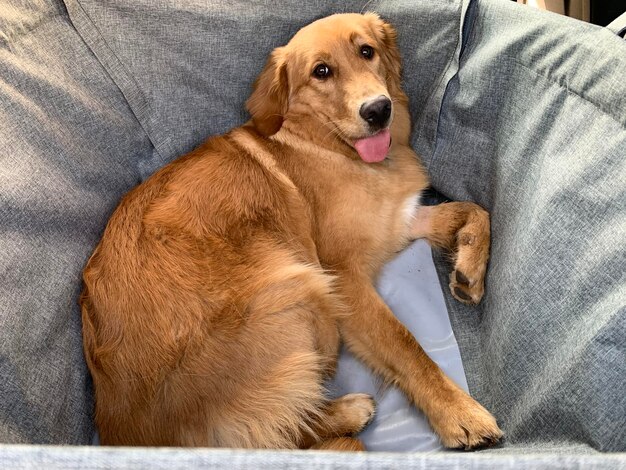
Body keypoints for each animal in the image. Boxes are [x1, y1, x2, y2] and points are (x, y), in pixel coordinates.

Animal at [81, 12, 502, 450]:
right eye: (321, 72)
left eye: (366, 51)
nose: (378, 110)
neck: (327, 143)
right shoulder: (344, 277)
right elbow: (405, 345)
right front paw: (458, 412)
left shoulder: (399, 220)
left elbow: (475, 210)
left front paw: (469, 269)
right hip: (305, 286)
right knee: (284, 428)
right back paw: (348, 412)